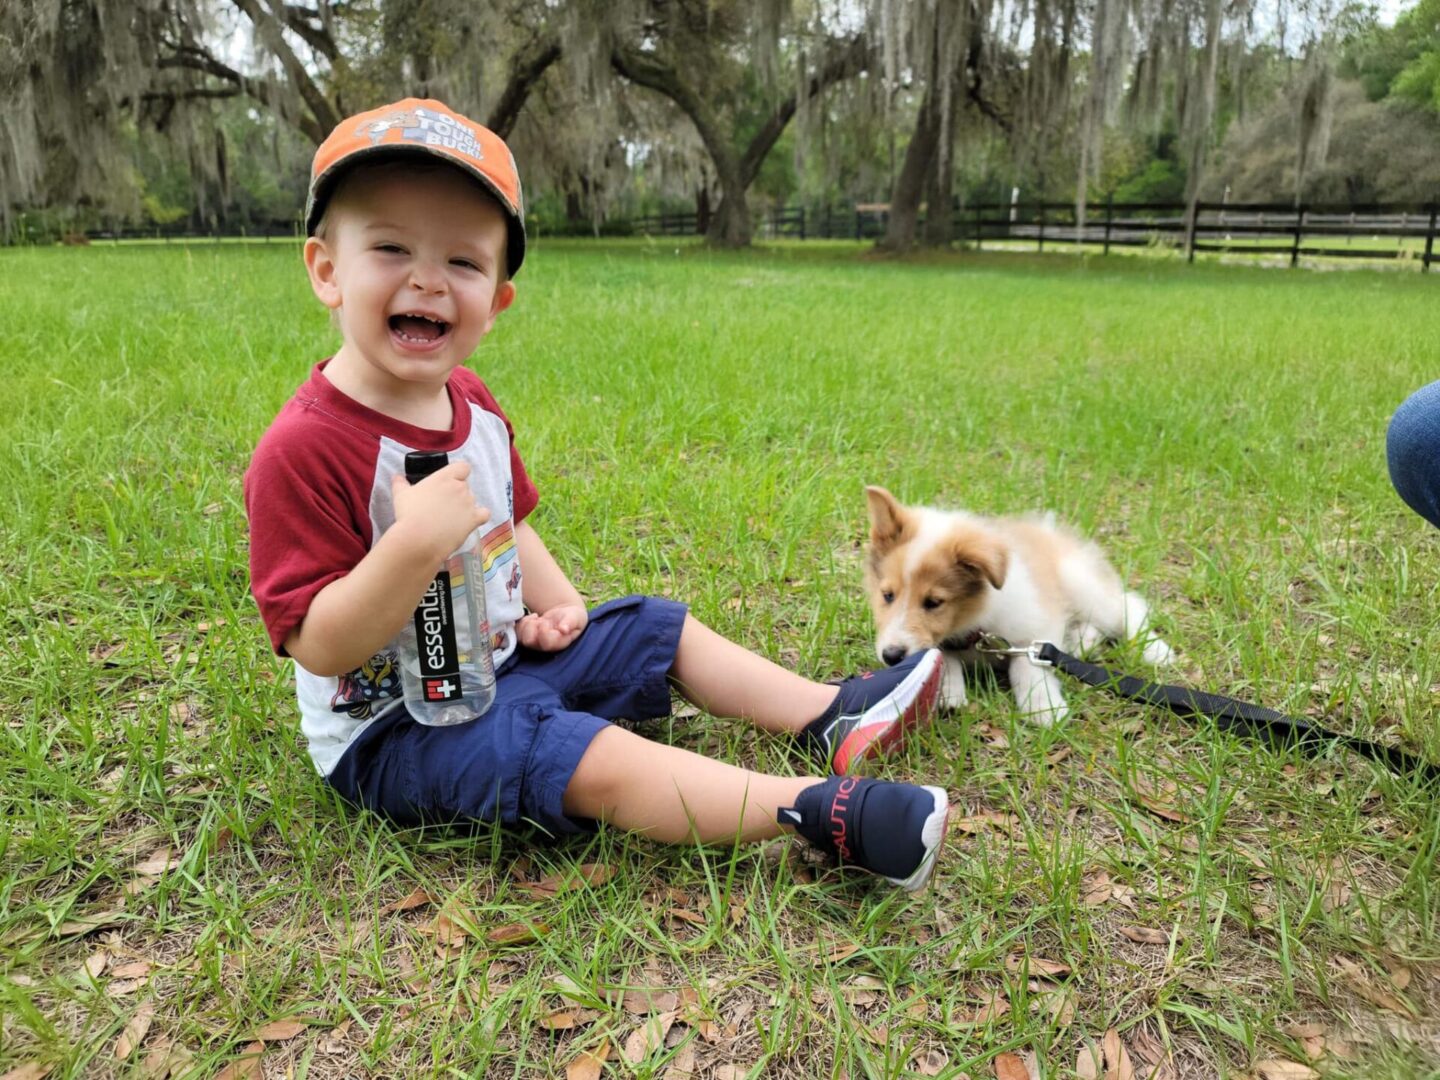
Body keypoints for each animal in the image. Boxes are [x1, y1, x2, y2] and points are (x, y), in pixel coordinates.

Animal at [864, 489, 1169, 728]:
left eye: (933, 603)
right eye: (887, 595)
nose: (891, 656)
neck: (973, 623)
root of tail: (1047, 530)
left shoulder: (1037, 620)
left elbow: (1027, 664)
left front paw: (1043, 706)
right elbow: (942, 654)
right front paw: (948, 691)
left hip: (1081, 584)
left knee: (1128, 603)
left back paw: (1156, 650)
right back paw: (1082, 641)